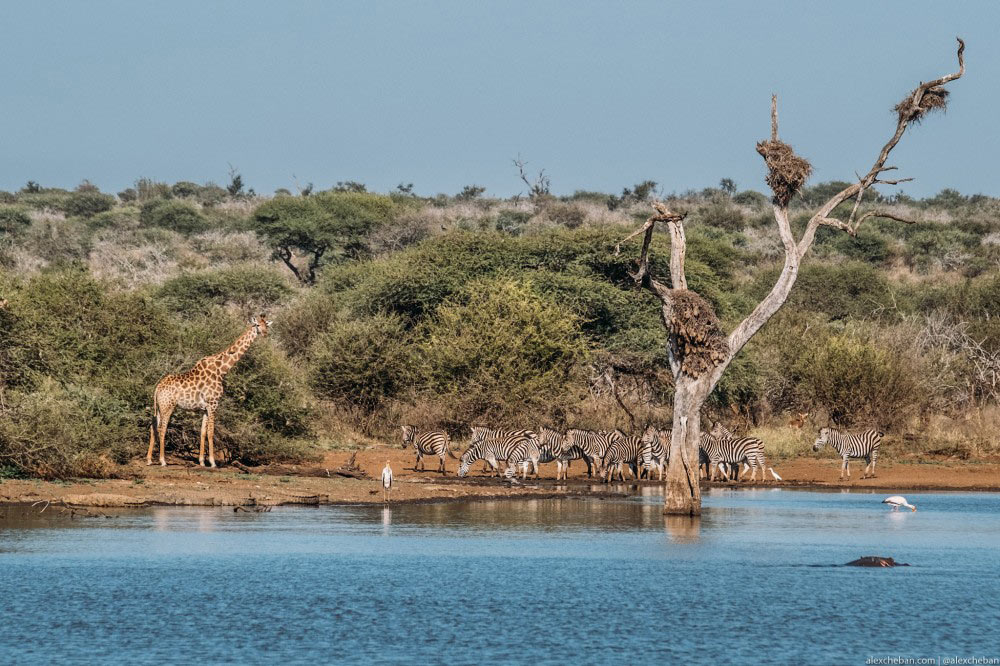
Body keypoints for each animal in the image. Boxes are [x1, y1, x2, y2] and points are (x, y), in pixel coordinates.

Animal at [146, 312, 272, 464]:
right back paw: (163, 460)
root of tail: (158, 387)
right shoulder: (213, 403)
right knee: (162, 428)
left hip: (159, 406)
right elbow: (211, 431)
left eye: (267, 326)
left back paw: (149, 459)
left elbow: (203, 432)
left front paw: (201, 461)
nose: (265, 334)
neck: (221, 370)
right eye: (257, 325)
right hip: (168, 406)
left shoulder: (205, 408)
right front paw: (212, 462)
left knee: (153, 427)